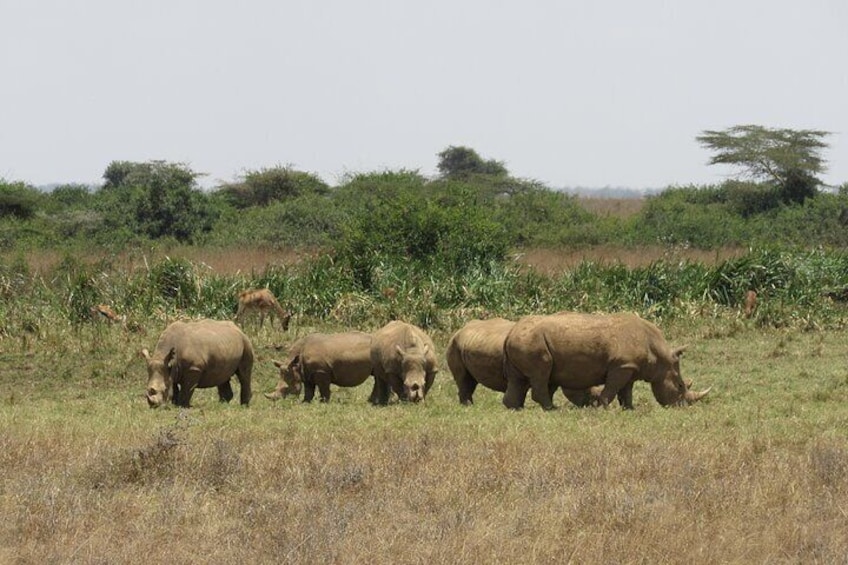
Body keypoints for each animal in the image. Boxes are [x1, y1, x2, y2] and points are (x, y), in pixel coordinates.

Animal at [504, 312, 708, 410]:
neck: (659, 356)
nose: (682, 407)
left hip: (523, 339)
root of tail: (511, 333)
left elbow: (626, 391)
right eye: (680, 386)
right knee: (541, 374)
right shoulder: (622, 366)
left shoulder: (630, 367)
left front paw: (630, 409)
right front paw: (603, 407)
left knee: (519, 378)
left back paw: (515, 408)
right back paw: (552, 408)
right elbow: (612, 388)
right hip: (533, 342)